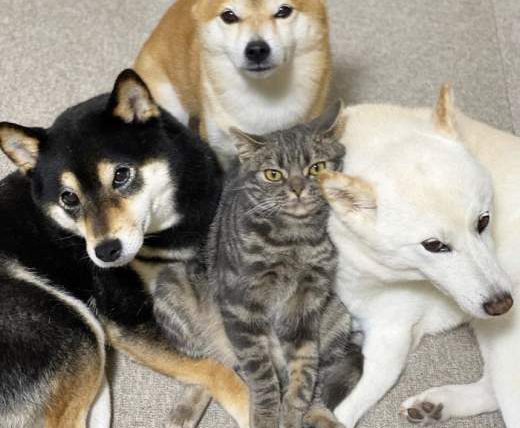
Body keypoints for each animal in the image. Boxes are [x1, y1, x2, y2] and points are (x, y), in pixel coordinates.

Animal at [0, 69, 251, 428]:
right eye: (68, 197)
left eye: (121, 175)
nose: (106, 252)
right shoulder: (125, 322)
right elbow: (213, 366)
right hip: (76, 326)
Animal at [318, 86, 519, 427]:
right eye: (434, 245)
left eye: (483, 221)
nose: (502, 304)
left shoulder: (390, 339)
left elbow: (343, 410)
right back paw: (437, 404)